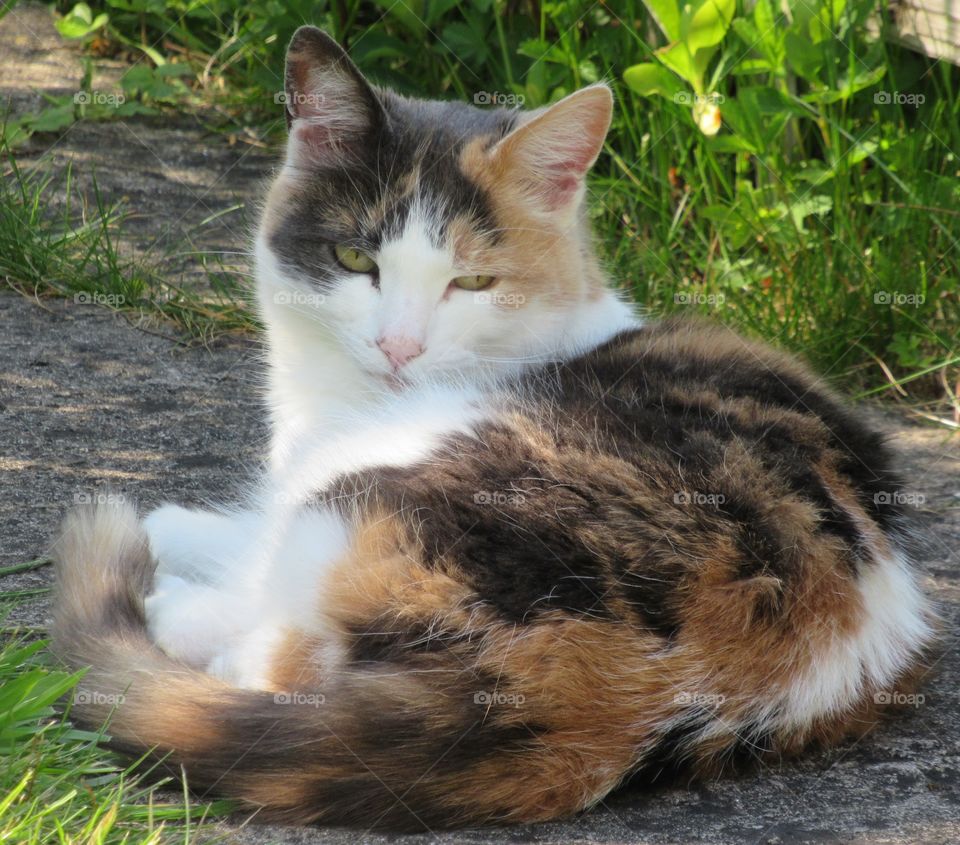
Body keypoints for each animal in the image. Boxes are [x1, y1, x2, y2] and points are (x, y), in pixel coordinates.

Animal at [48, 24, 932, 832]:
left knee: (277, 648)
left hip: (374, 491)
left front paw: (171, 536)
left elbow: (248, 538)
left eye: (471, 283)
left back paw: (172, 610)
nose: (399, 347)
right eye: (355, 260)